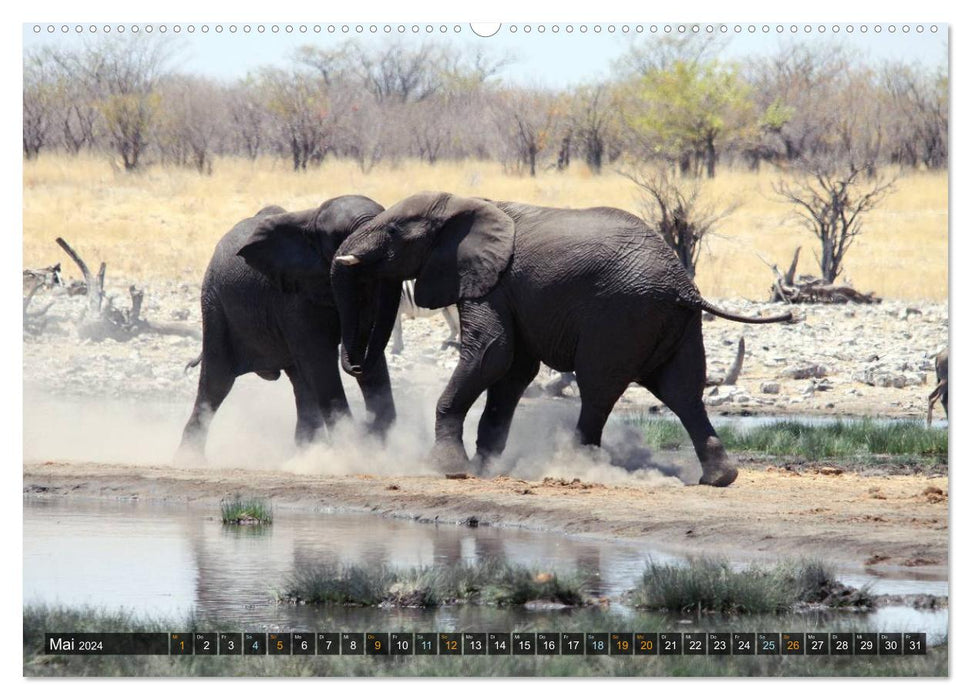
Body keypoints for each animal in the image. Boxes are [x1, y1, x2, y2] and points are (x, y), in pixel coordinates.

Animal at [177, 194, 400, 464]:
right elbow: (319, 359)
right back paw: (188, 459)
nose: (355, 366)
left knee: (300, 382)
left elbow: (366, 348)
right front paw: (352, 450)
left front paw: (372, 450)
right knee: (217, 380)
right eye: (340, 236)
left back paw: (306, 451)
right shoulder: (293, 297)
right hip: (214, 303)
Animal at [330, 191, 792, 486]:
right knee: (683, 392)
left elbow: (491, 353)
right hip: (676, 324)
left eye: (393, 231)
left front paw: (449, 468)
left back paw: (573, 467)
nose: (355, 363)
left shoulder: (490, 282)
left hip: (620, 316)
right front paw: (484, 468)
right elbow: (513, 370)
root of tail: (685, 287)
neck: (464, 202)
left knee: (598, 388)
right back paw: (720, 479)